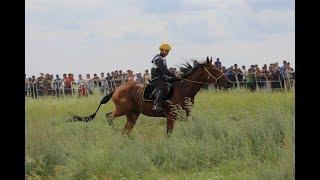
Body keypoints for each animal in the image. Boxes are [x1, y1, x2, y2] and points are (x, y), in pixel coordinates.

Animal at [69, 57, 231, 134]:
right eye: (215, 70)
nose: (229, 82)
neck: (184, 89)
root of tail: (116, 89)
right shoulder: (171, 116)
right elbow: (169, 134)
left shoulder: (185, 114)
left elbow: (193, 123)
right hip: (122, 110)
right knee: (109, 116)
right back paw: (114, 133)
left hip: (133, 114)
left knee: (126, 130)